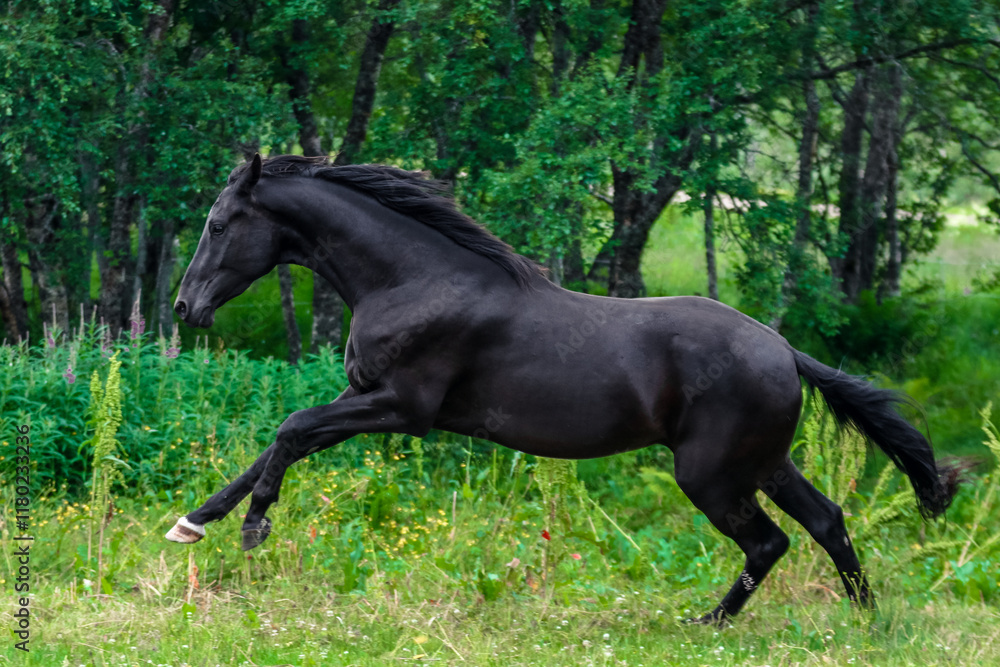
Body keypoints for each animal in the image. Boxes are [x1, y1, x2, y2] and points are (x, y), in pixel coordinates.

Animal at [166, 153, 963, 624]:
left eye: (217, 223)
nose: (183, 307)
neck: (414, 280)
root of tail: (784, 350)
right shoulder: (365, 398)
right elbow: (272, 445)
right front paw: (193, 521)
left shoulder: (401, 407)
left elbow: (292, 428)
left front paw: (253, 529)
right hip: (763, 462)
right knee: (826, 521)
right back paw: (866, 617)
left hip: (710, 474)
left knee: (769, 541)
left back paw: (707, 624)